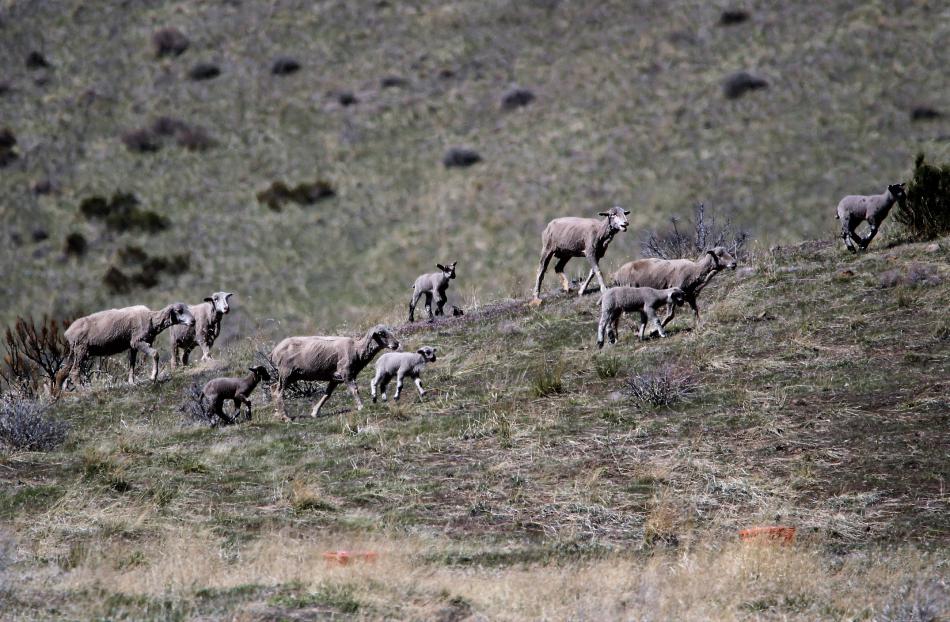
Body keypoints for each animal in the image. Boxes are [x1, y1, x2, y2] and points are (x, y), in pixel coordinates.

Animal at [55, 303, 194, 391]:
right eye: (179, 311)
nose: (193, 321)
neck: (151, 319)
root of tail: (68, 332)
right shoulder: (137, 341)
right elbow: (155, 354)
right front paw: (153, 377)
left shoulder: (132, 345)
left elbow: (131, 363)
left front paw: (131, 382)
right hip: (81, 350)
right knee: (74, 371)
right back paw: (82, 389)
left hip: (74, 352)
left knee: (62, 373)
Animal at [271, 324, 400, 420]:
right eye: (382, 333)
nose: (396, 343)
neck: (357, 350)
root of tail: (274, 351)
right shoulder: (346, 373)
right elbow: (355, 390)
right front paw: (361, 407)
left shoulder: (335, 378)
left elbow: (327, 395)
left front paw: (315, 412)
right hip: (286, 373)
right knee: (278, 392)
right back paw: (285, 417)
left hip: (291, 375)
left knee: (273, 388)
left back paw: (279, 414)